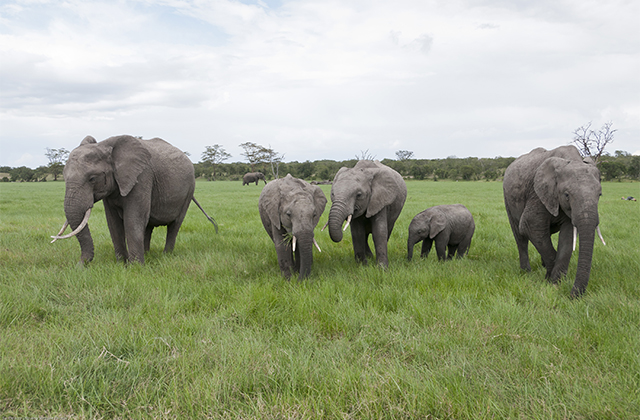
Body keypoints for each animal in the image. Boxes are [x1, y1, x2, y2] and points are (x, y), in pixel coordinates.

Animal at [51, 135, 217, 264]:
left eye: (92, 179)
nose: (79, 265)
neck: (105, 145)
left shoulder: (142, 176)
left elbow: (133, 220)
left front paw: (135, 268)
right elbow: (113, 223)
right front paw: (121, 264)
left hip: (189, 189)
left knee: (174, 225)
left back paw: (166, 256)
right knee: (148, 225)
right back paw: (147, 254)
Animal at [503, 145, 605, 297]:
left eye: (600, 194)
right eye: (567, 195)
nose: (571, 296)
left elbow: (567, 237)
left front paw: (556, 282)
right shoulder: (537, 192)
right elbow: (529, 225)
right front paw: (550, 281)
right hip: (508, 198)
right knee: (520, 237)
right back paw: (526, 272)